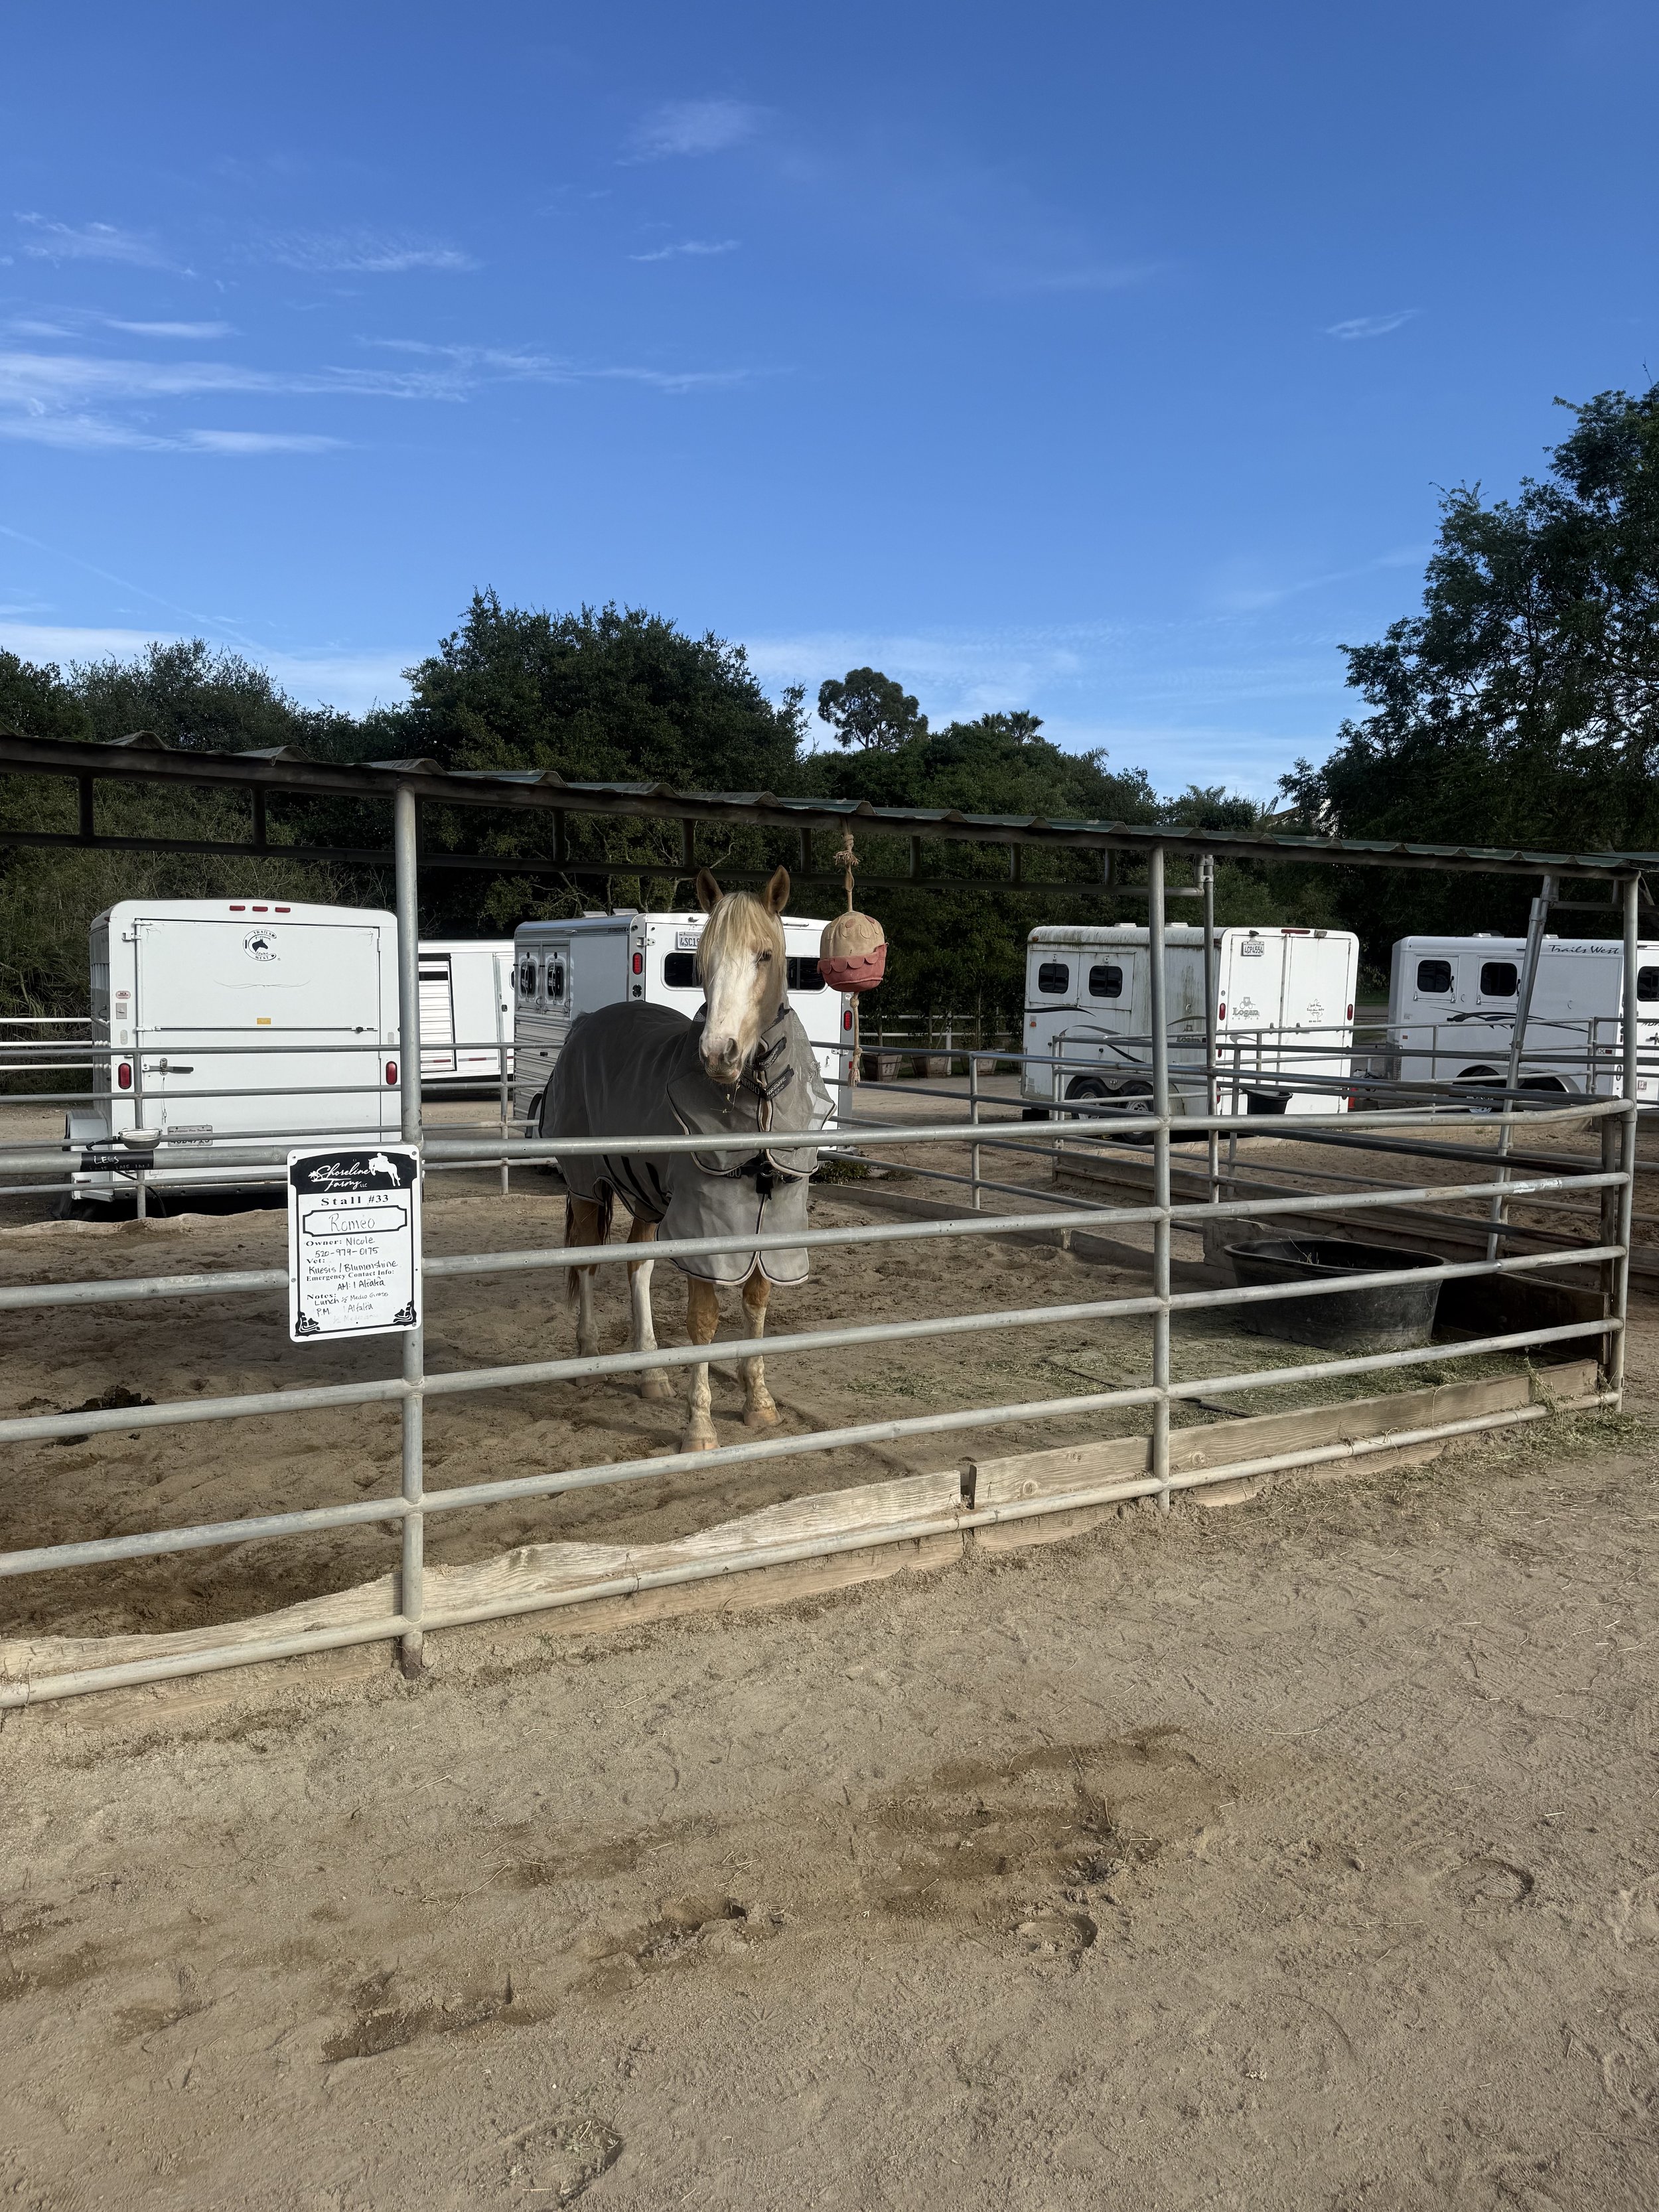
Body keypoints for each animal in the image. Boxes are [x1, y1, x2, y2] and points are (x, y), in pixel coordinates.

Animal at [539, 865, 832, 1454]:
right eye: (703, 960)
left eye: (766, 955)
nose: (719, 1053)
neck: (756, 1101)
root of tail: (585, 1023)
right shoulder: (706, 1224)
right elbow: (703, 1320)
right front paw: (699, 1427)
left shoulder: (772, 1221)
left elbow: (757, 1302)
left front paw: (758, 1402)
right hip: (586, 1185)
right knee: (585, 1261)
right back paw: (588, 1356)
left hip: (647, 1197)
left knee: (638, 1265)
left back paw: (650, 1371)